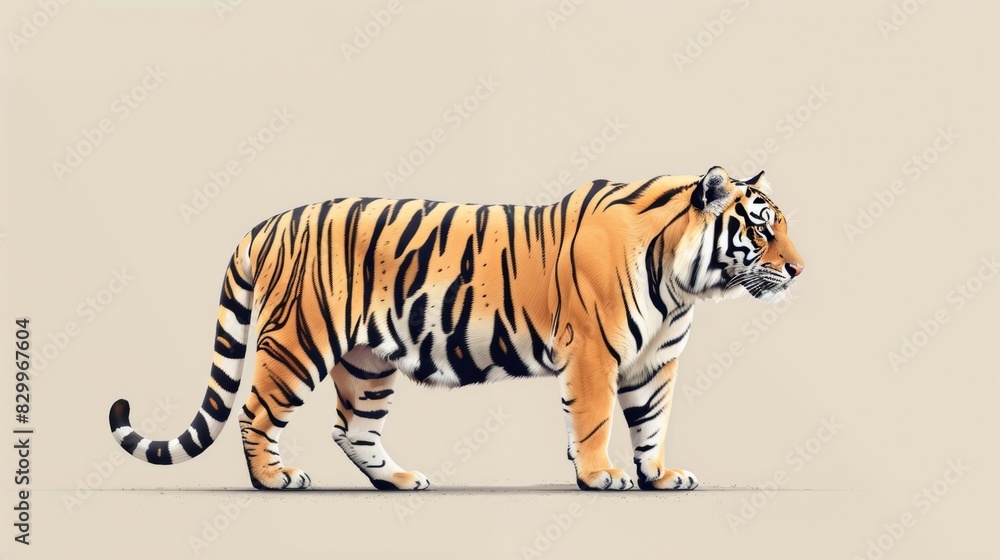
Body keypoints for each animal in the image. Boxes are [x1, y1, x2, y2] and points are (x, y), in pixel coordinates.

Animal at [108, 165, 803, 491]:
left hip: (367, 363)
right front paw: (601, 475)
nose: (800, 268)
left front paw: (659, 477)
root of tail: (268, 222)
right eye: (762, 226)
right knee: (256, 412)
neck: (681, 283)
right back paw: (275, 480)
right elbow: (597, 421)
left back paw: (399, 481)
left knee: (352, 428)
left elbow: (652, 423)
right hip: (297, 342)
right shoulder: (594, 354)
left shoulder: (654, 363)